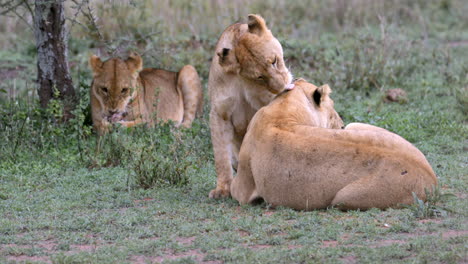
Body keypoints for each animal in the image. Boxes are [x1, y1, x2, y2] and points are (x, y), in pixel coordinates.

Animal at [208, 13, 292, 198]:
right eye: (259, 77)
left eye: (274, 61)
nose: (282, 88)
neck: (241, 80)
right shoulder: (219, 113)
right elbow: (221, 155)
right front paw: (223, 189)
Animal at [232, 79, 436, 210]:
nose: (342, 123)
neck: (283, 109)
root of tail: (432, 180)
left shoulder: (242, 190)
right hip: (358, 127)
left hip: (343, 199)